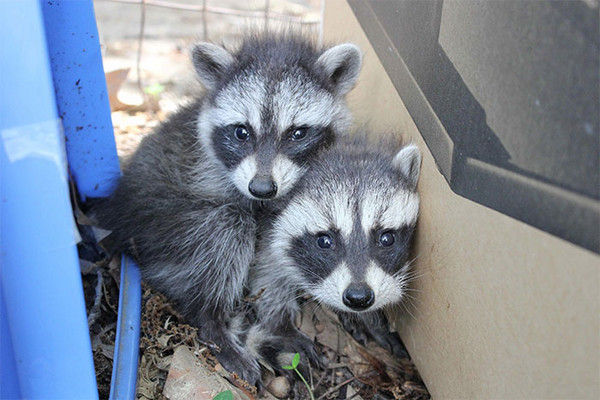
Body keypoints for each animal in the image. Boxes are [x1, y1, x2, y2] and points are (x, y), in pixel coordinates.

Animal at [97, 32, 360, 382]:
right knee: (226, 229)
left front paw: (278, 321)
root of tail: (113, 212)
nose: (261, 188)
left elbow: (278, 246)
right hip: (155, 223)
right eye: (241, 131)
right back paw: (212, 320)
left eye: (297, 133)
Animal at [246, 134, 420, 372]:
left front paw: (371, 320)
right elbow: (268, 273)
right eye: (324, 241)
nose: (358, 298)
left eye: (387, 238)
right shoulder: (267, 226)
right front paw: (280, 323)